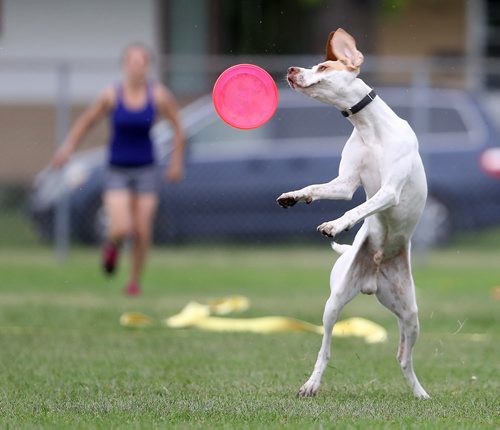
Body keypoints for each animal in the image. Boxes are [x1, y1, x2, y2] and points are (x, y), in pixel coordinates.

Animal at [278, 28, 430, 400]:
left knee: (404, 356)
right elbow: (319, 189)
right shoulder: (345, 183)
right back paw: (311, 384)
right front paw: (293, 197)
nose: (290, 69)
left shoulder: (388, 191)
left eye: (323, 65)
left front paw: (335, 224)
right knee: (326, 348)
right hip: (333, 304)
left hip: (410, 314)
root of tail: (372, 280)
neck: (370, 128)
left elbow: (358, 207)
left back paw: (420, 392)